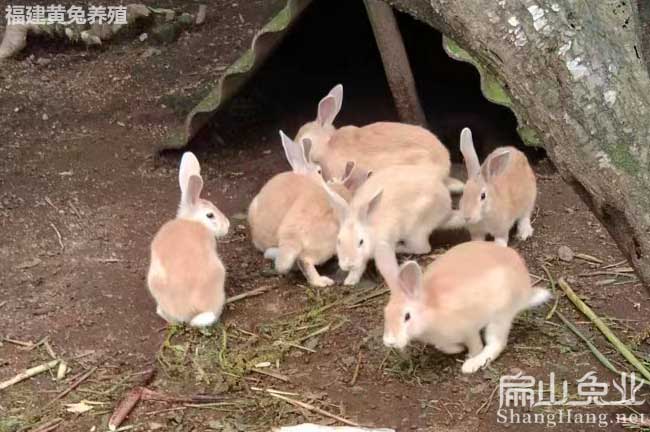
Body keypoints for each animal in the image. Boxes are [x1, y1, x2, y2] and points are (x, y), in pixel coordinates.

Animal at [322, 164, 464, 286]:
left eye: (361, 241)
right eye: (339, 241)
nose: (348, 264)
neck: (370, 227)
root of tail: (446, 210)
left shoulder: (382, 246)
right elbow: (359, 268)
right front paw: (350, 280)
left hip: (416, 231)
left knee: (423, 248)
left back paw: (399, 247)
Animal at [378, 241, 548, 372]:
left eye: (407, 316)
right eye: (385, 313)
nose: (389, 342)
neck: (432, 309)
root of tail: (525, 290)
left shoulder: (469, 330)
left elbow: (476, 346)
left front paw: (470, 358)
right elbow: (444, 347)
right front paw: (458, 349)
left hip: (500, 317)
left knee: (496, 344)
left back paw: (472, 365)